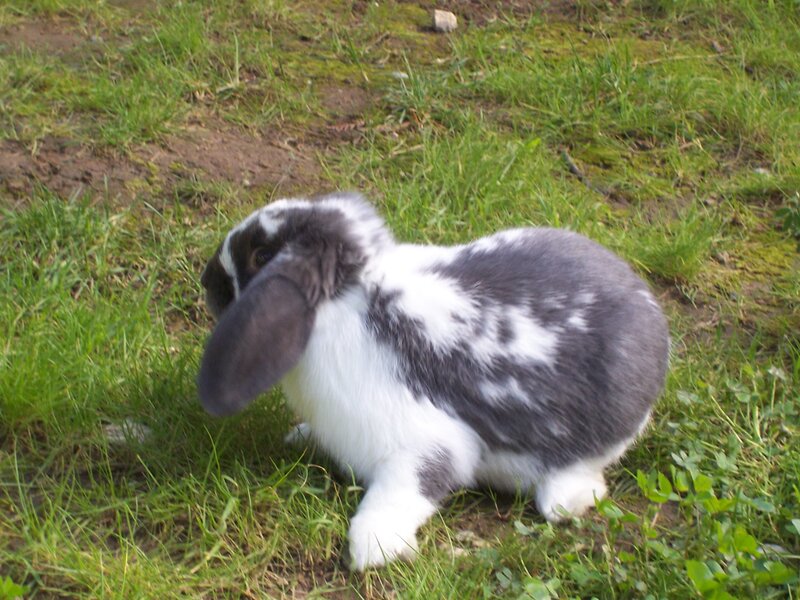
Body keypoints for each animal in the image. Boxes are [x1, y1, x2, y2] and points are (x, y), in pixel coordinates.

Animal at [198, 192, 669, 570]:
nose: (207, 279)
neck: (348, 300)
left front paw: (373, 548)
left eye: (261, 255)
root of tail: (652, 317)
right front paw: (299, 435)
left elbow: (406, 488)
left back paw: (564, 501)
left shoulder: (423, 445)